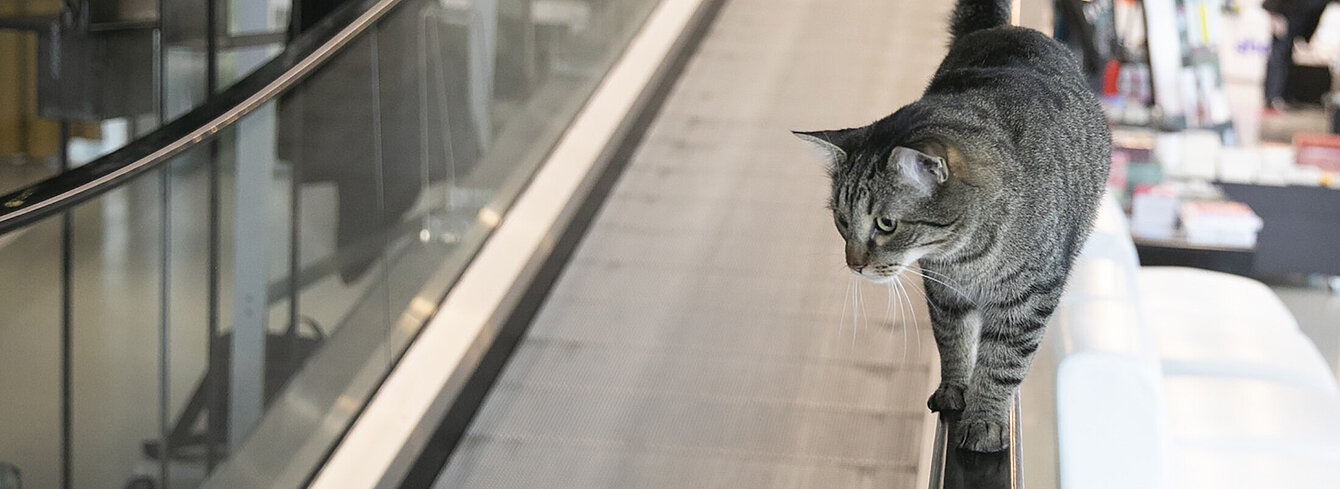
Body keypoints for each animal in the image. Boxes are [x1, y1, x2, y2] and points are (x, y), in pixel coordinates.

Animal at [793, 0, 1109, 450]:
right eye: (841, 220)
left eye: (885, 224)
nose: (854, 264)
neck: (965, 256)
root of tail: (1004, 29)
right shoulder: (944, 292)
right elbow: (953, 342)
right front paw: (954, 389)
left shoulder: (1028, 300)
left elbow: (1002, 364)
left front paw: (984, 419)